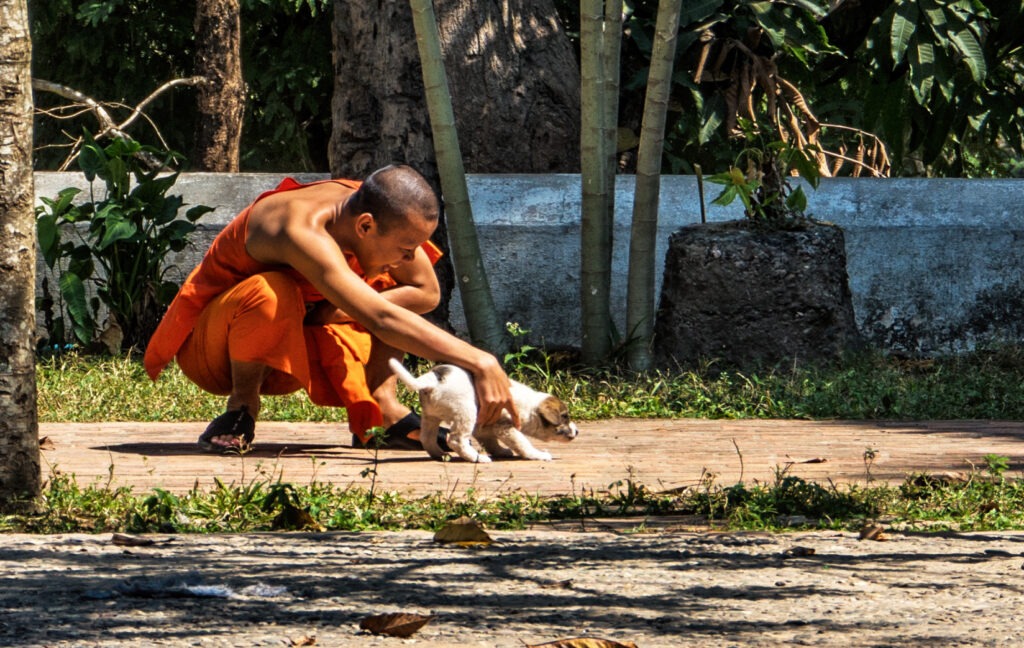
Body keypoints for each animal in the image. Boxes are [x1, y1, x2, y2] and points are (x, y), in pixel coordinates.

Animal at [385, 358, 577, 460]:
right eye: (565, 417)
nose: (577, 431)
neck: (530, 407)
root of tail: (433, 379)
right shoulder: (506, 428)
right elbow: (523, 443)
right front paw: (537, 454)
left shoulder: (484, 428)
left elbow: (492, 442)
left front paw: (501, 451)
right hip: (466, 413)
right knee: (456, 440)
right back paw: (477, 458)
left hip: (430, 416)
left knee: (426, 438)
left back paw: (440, 455)